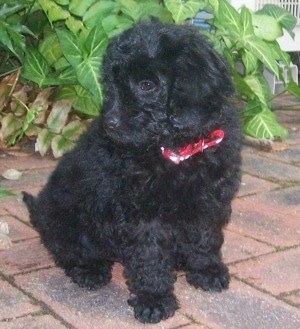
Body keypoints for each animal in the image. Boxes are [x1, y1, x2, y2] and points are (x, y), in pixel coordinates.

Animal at [22, 19, 241, 322]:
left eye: (146, 85)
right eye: (111, 84)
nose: (110, 123)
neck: (175, 150)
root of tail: (39, 211)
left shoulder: (209, 201)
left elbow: (205, 237)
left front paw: (206, 270)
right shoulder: (142, 214)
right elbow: (150, 256)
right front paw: (154, 299)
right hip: (67, 219)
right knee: (70, 251)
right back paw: (90, 270)